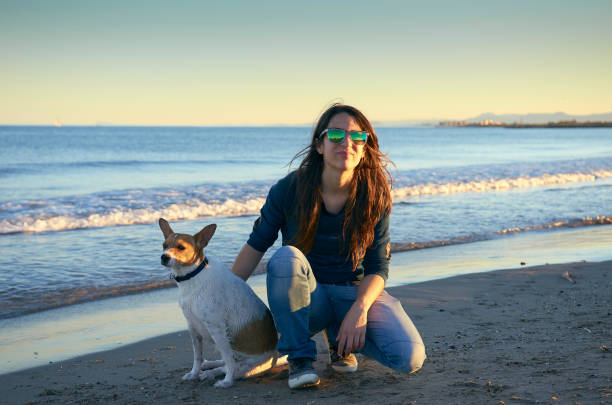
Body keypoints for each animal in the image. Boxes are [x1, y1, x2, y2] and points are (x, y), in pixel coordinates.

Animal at [158, 216, 282, 386]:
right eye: (164, 246)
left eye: (181, 247)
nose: (164, 257)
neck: (193, 276)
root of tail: (274, 355)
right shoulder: (193, 327)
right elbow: (197, 357)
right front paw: (194, 373)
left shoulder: (216, 328)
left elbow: (229, 362)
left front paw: (227, 382)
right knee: (222, 362)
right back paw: (208, 366)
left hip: (245, 364)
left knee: (230, 365)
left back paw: (213, 373)